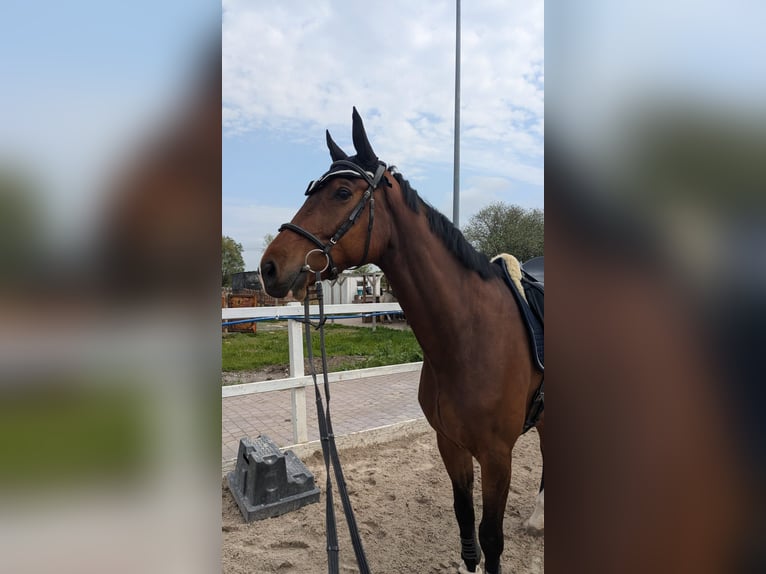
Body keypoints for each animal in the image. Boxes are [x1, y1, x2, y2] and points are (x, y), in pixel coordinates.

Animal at [260, 108, 544, 574]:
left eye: (342, 192)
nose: (269, 267)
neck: (469, 337)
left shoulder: (497, 456)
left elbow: (491, 539)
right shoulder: (450, 445)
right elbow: (467, 530)